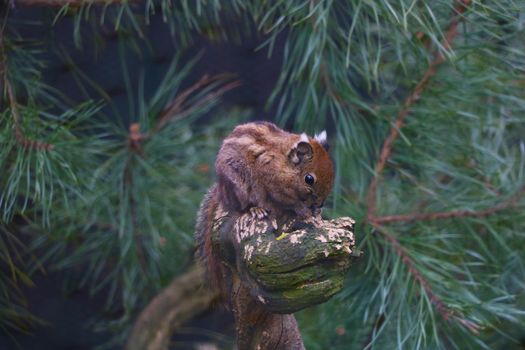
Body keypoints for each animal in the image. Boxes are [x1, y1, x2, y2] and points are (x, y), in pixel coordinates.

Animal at [194, 121, 334, 294]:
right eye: (309, 179)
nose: (321, 204)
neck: (285, 162)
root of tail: (222, 191)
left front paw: (316, 212)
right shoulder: (274, 185)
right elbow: (292, 203)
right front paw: (306, 213)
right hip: (241, 188)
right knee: (243, 207)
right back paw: (256, 209)